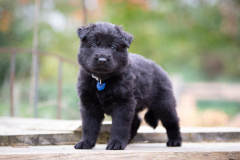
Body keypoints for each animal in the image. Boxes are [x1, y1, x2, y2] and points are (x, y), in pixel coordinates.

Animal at [74, 21, 181, 150]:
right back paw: (128, 140)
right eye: (94, 45)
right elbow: (88, 126)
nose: (102, 60)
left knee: (172, 121)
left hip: (164, 104)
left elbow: (119, 125)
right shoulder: (89, 104)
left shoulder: (123, 103)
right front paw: (85, 142)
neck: (102, 80)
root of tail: (158, 67)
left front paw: (116, 143)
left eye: (113, 47)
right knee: (136, 121)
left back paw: (175, 141)